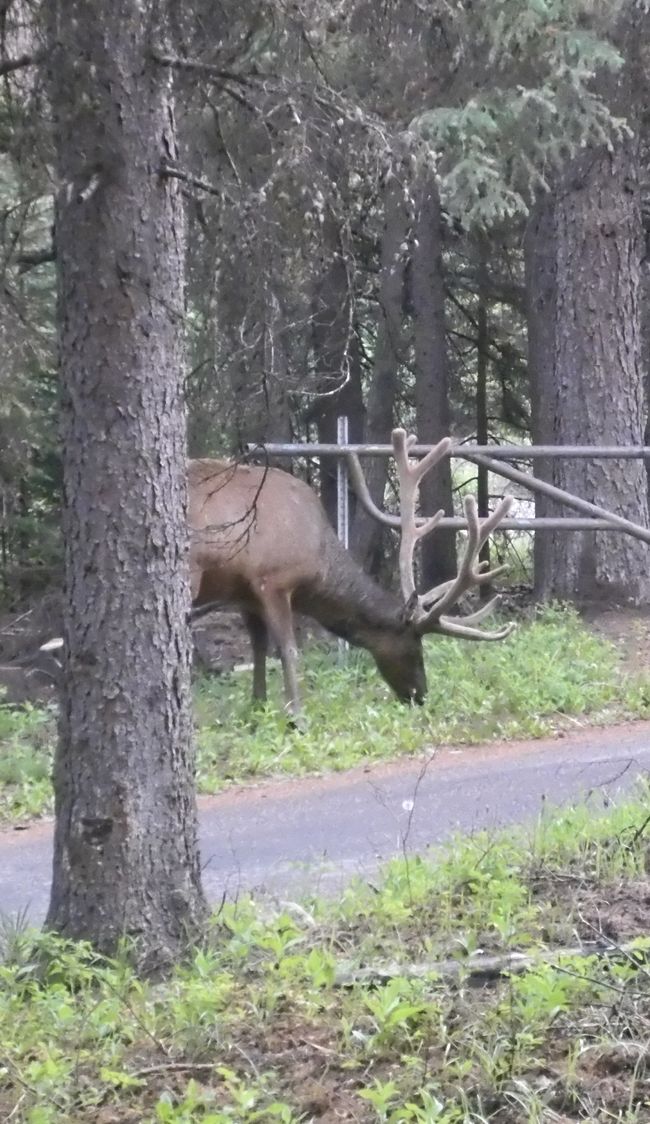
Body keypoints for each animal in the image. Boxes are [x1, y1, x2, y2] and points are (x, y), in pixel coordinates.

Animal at [189, 428, 515, 717]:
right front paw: (297, 717)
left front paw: (258, 708)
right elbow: (288, 650)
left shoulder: (244, 593)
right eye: (415, 648)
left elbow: (258, 648)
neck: (318, 561)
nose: (421, 696)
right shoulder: (274, 579)